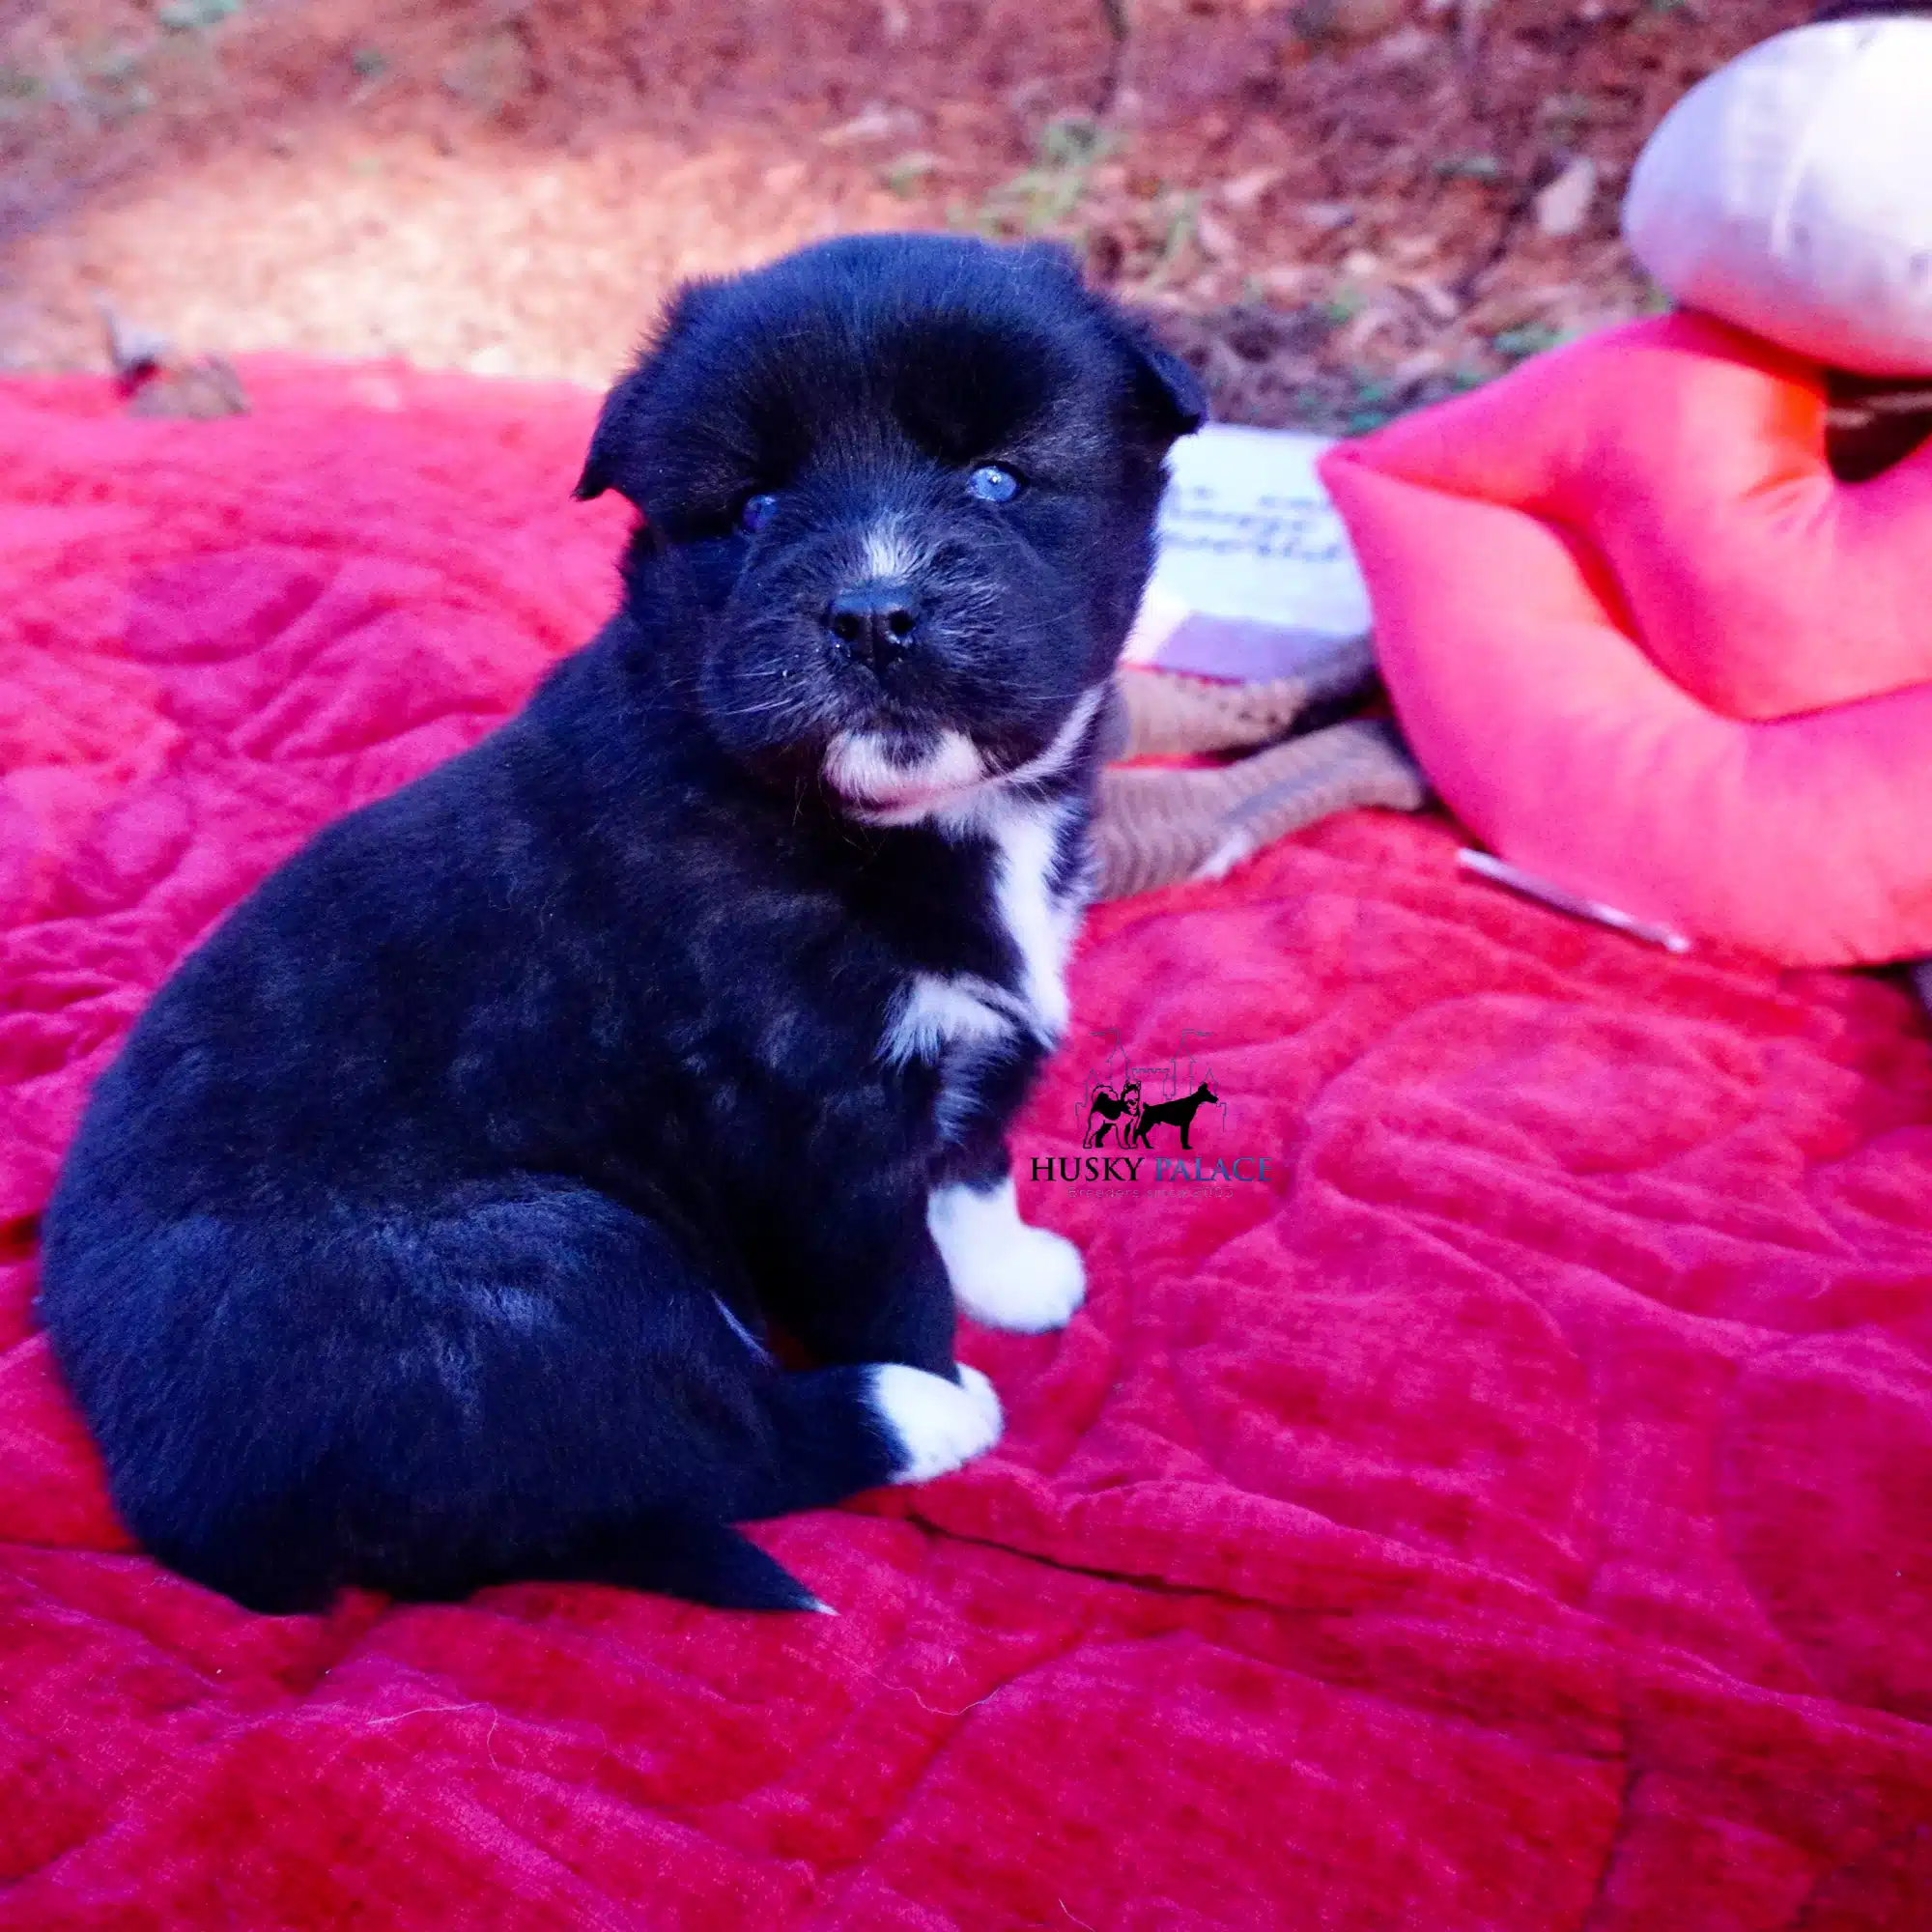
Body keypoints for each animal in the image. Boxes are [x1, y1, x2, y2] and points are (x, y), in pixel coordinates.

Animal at [38, 230, 1198, 1615]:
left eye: (996, 480)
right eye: (753, 511)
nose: (872, 615)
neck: (897, 821)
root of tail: (184, 1512)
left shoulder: (970, 1035)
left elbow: (972, 1161)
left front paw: (1013, 1275)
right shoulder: (821, 1134)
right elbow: (894, 1278)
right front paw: (946, 1365)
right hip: (548, 1272)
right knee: (708, 1445)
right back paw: (920, 1416)